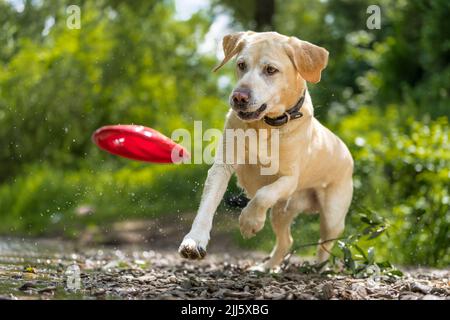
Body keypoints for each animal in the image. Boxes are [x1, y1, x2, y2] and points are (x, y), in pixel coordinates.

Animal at [178, 31, 354, 272]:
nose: (239, 97)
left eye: (271, 70)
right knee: (286, 241)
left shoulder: (289, 178)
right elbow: (207, 206)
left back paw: (319, 268)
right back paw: (266, 267)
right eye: (241, 65)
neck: (266, 125)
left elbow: (263, 194)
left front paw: (249, 222)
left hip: (332, 217)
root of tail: (346, 151)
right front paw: (194, 241)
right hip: (281, 212)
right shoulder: (221, 167)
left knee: (324, 245)